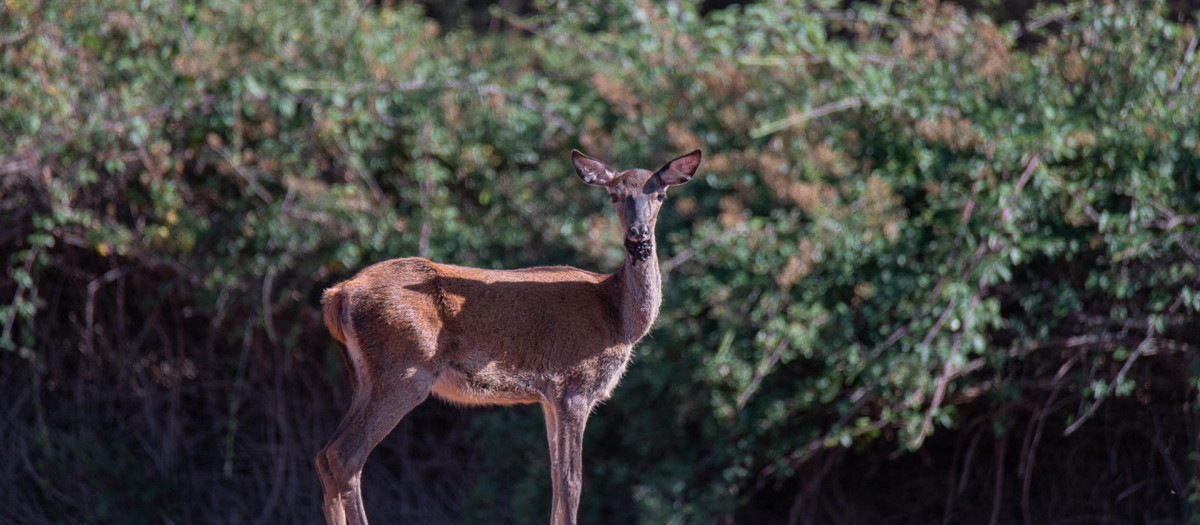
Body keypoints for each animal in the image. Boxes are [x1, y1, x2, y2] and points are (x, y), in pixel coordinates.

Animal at [316, 147, 700, 525]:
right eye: (614, 195)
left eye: (660, 195)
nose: (638, 234)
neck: (620, 319)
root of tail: (338, 294)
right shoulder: (574, 385)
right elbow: (572, 482)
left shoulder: (548, 396)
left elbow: (554, 478)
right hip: (404, 371)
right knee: (345, 456)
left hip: (365, 377)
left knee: (324, 454)